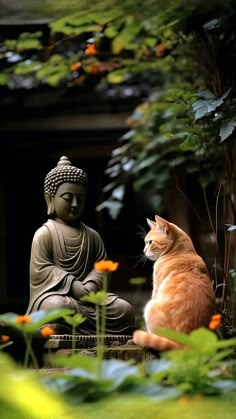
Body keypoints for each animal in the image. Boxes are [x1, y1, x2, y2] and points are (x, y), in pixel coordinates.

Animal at [133, 217, 216, 352]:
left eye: (150, 242)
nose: (144, 250)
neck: (182, 251)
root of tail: (186, 344)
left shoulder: (155, 290)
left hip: (149, 306)